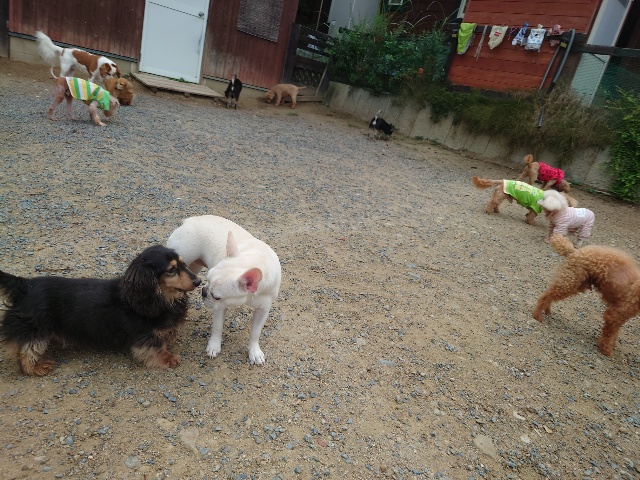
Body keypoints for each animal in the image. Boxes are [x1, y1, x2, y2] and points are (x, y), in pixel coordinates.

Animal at [0, 246, 201, 375]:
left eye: (183, 264)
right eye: (171, 269)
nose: (198, 281)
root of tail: (24, 285)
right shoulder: (144, 336)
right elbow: (156, 348)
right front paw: (168, 358)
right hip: (36, 328)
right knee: (25, 351)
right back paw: (35, 368)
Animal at [167, 215, 282, 365]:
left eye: (216, 296)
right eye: (207, 280)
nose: (203, 291)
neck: (255, 259)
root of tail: (190, 220)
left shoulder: (262, 309)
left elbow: (256, 332)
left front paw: (255, 352)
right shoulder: (219, 307)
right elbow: (217, 326)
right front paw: (214, 346)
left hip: (192, 269)